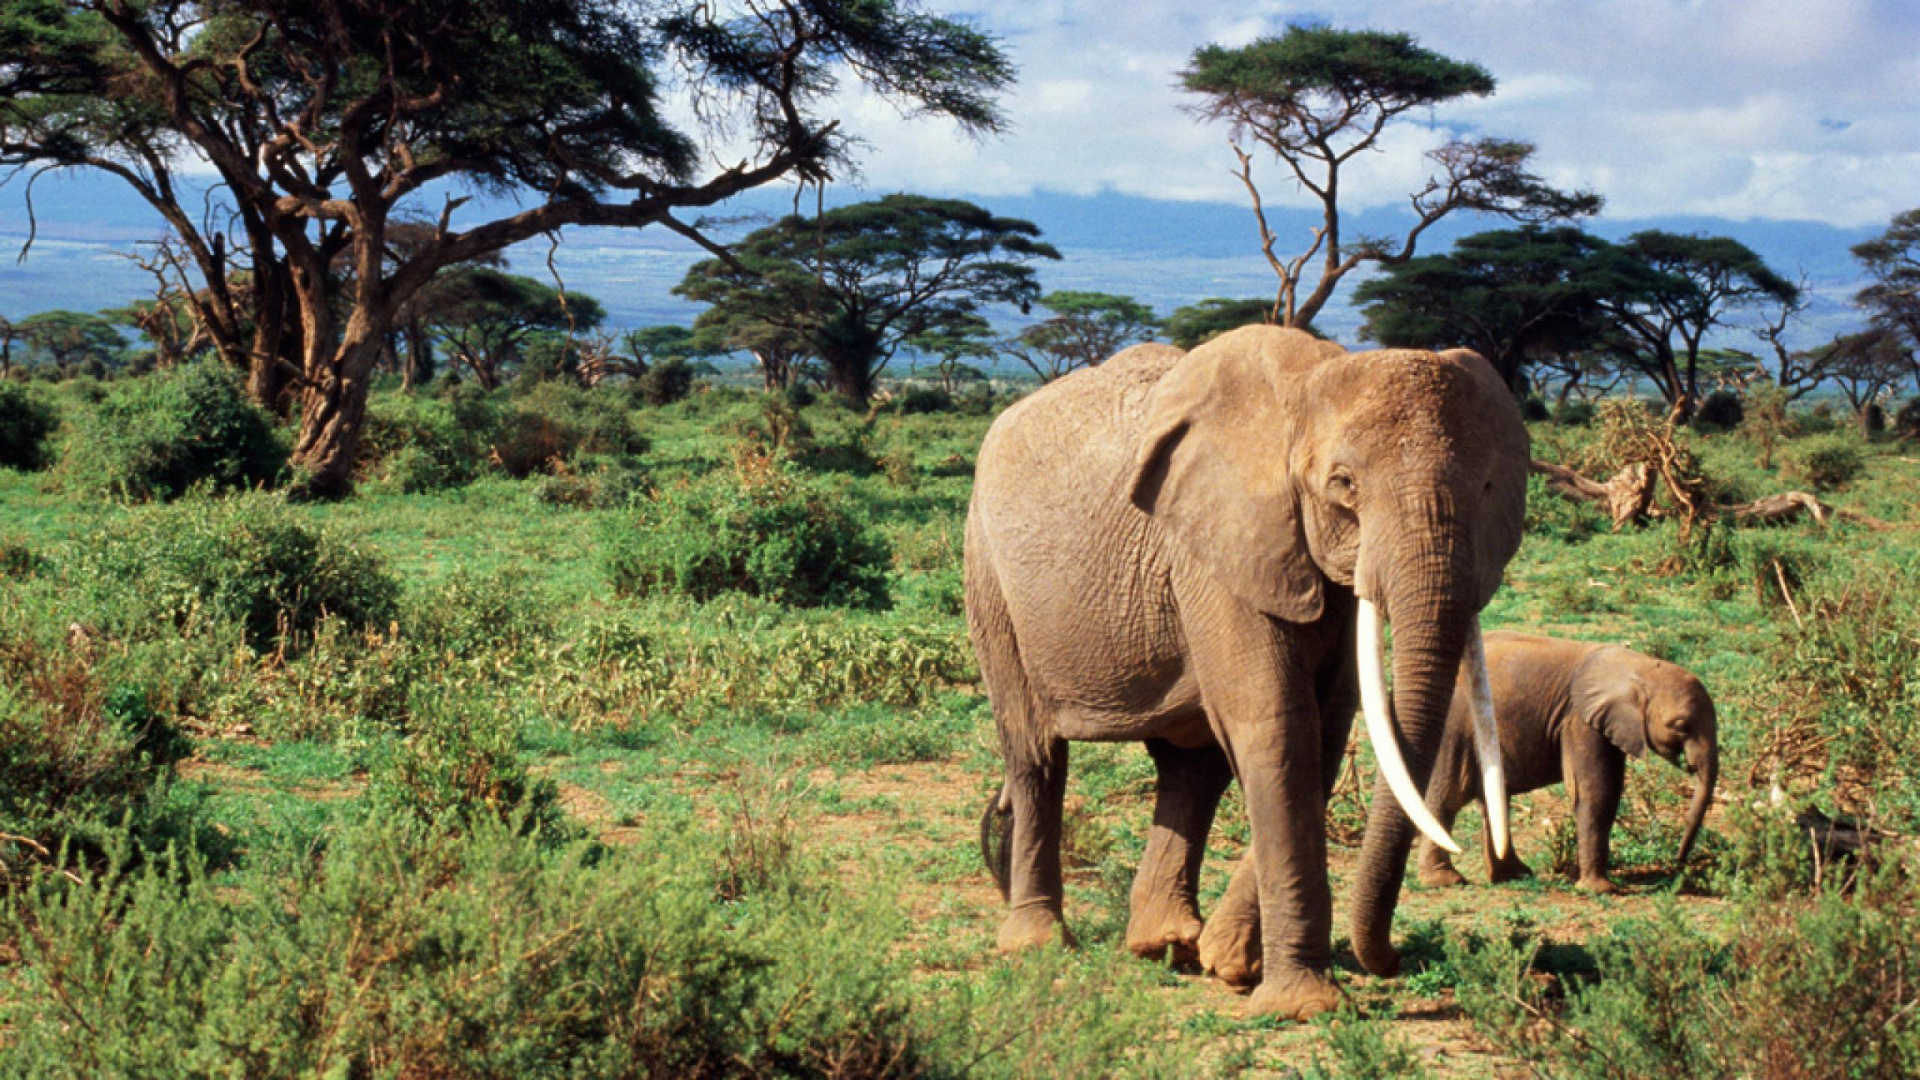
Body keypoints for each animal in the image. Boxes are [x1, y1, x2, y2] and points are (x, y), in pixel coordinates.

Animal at [975, 322, 1528, 1014]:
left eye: (1486, 490)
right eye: (1344, 485)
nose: (1394, 961)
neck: (1309, 386)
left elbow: (1324, 730)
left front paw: (1232, 963)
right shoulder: (1216, 546)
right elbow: (1278, 723)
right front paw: (1302, 1005)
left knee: (1191, 766)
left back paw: (1166, 943)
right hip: (991, 578)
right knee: (1036, 753)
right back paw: (1039, 943)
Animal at [1420, 626, 1720, 887]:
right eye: (1680, 725)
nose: (1678, 863)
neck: (1638, 666)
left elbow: (1608, 790)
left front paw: (1577, 878)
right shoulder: (1579, 719)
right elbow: (1594, 791)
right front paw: (1598, 888)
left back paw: (1514, 876)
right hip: (1455, 727)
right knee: (1449, 796)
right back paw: (1445, 880)